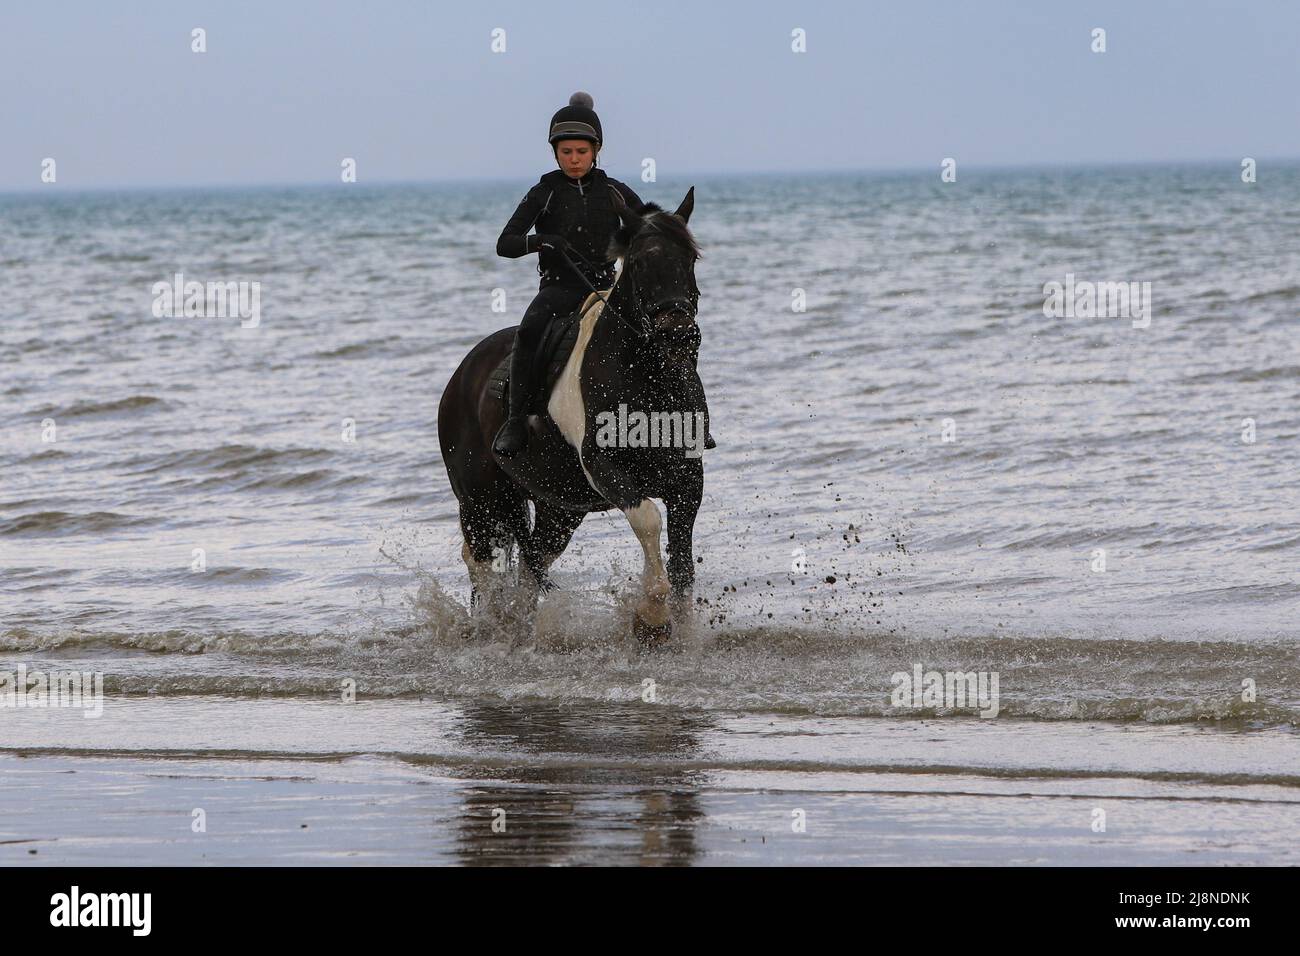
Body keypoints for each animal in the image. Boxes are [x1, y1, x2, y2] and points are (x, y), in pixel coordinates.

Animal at [436, 187, 707, 642]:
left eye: (690, 259)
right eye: (639, 261)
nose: (678, 334)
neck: (644, 377)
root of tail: (459, 377)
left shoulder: (687, 480)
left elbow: (683, 564)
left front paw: (681, 630)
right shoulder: (605, 468)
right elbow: (649, 520)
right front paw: (651, 616)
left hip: (558, 510)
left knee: (529, 570)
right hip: (480, 501)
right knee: (480, 561)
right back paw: (490, 629)